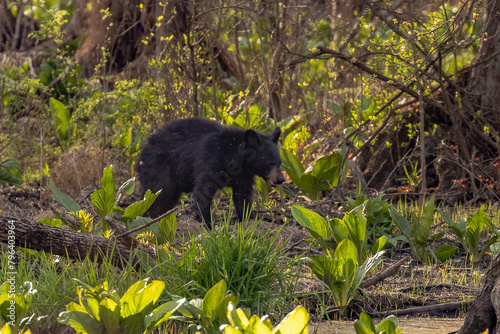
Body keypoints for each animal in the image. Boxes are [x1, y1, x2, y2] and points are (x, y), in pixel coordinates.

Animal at [136, 118, 286, 230]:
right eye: (270, 163)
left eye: (280, 162)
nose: (281, 179)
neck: (238, 161)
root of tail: (141, 153)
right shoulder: (212, 161)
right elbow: (204, 191)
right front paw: (207, 223)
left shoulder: (244, 176)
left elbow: (242, 196)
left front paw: (247, 219)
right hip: (160, 168)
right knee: (159, 195)